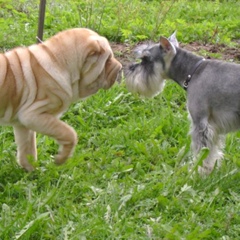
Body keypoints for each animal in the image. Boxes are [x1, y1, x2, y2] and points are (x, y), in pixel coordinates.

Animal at [0, 27, 122, 171]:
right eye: (107, 60)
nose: (120, 68)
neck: (58, 61)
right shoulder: (33, 115)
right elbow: (69, 134)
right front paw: (60, 159)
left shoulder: (22, 123)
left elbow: (27, 148)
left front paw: (32, 171)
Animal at [124, 31, 240, 174]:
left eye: (146, 59)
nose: (127, 70)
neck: (192, 71)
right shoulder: (214, 126)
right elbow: (213, 151)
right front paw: (210, 169)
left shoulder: (201, 123)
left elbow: (203, 152)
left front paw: (198, 172)